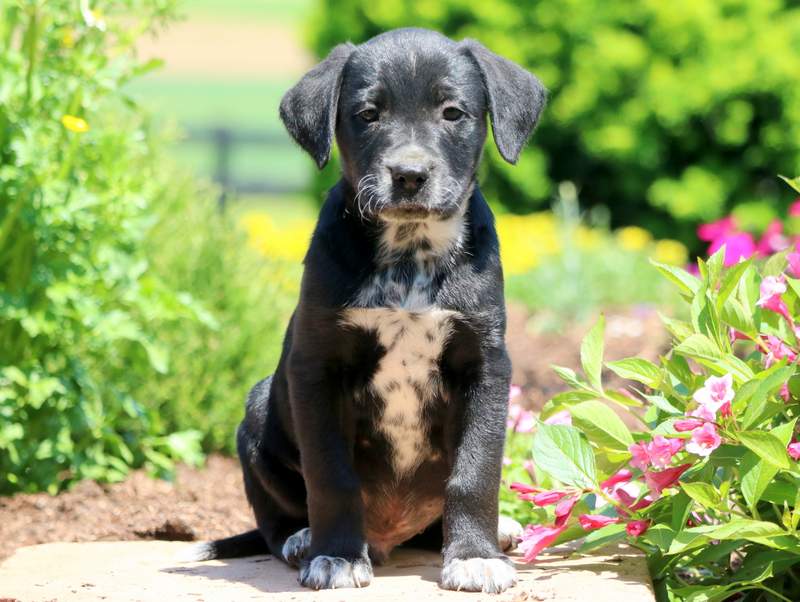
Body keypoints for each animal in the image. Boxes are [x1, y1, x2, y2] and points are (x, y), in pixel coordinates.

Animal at [184, 28, 548, 592]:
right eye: (368, 114)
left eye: (452, 112)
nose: (409, 174)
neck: (409, 253)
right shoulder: (317, 366)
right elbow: (331, 475)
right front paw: (335, 556)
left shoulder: (485, 364)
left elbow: (476, 470)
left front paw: (474, 555)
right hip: (260, 406)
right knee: (273, 519)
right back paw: (302, 539)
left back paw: (498, 530)